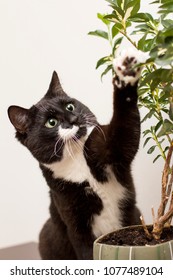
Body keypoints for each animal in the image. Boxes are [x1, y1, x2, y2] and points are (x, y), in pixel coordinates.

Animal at [7, 50, 142, 260]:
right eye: (51, 122)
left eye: (70, 106)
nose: (73, 118)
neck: (77, 158)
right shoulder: (75, 224)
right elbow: (86, 252)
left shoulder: (112, 151)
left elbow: (126, 129)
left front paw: (126, 72)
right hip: (47, 233)